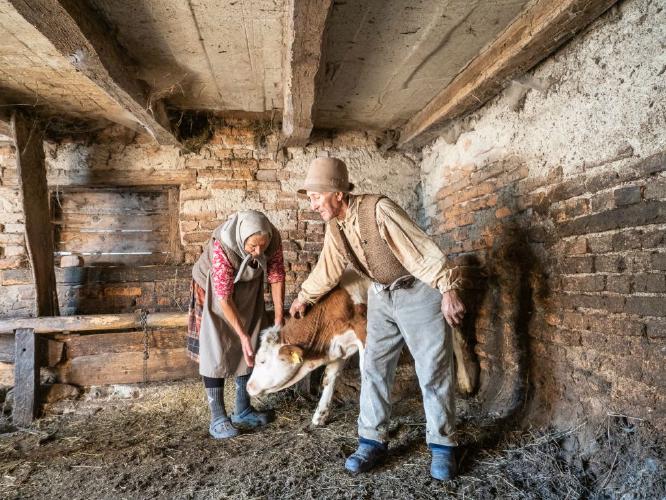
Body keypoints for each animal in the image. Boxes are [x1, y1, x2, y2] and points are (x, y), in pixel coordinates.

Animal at [247, 271, 478, 426]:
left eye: (262, 361)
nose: (248, 386)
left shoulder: (365, 334)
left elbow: (368, 371)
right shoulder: (338, 345)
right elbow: (329, 378)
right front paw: (320, 415)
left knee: (456, 340)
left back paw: (465, 383)